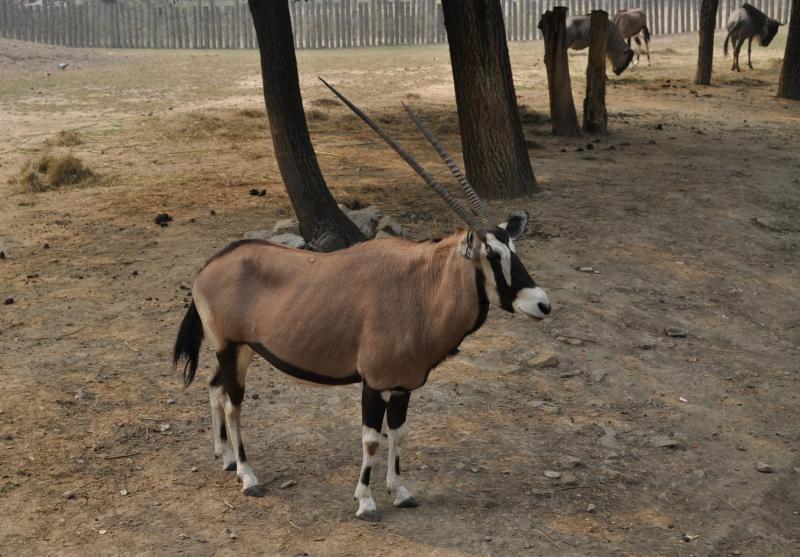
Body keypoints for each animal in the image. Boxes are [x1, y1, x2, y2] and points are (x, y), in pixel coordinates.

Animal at [173, 79, 552, 520]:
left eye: (514, 248)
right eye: (491, 254)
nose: (542, 304)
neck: (420, 288)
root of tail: (208, 267)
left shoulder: (403, 385)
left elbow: (399, 434)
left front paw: (401, 491)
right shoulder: (373, 383)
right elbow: (372, 438)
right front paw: (366, 501)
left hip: (240, 351)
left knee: (215, 387)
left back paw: (227, 457)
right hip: (229, 347)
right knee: (233, 404)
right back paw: (248, 476)